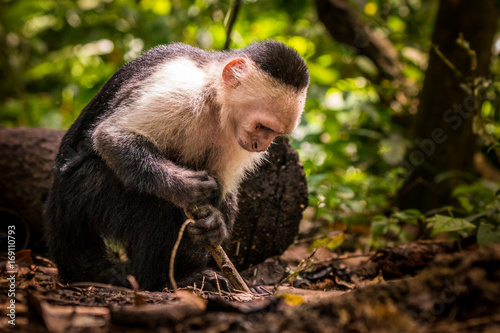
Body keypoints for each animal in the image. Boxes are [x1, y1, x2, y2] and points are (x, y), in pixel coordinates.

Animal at [46, 40, 308, 290]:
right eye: (262, 126)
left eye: (275, 133)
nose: (260, 146)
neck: (213, 98)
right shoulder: (179, 88)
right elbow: (112, 136)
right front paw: (181, 185)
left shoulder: (236, 138)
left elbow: (220, 186)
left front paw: (214, 224)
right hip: (81, 190)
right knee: (149, 204)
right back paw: (161, 279)